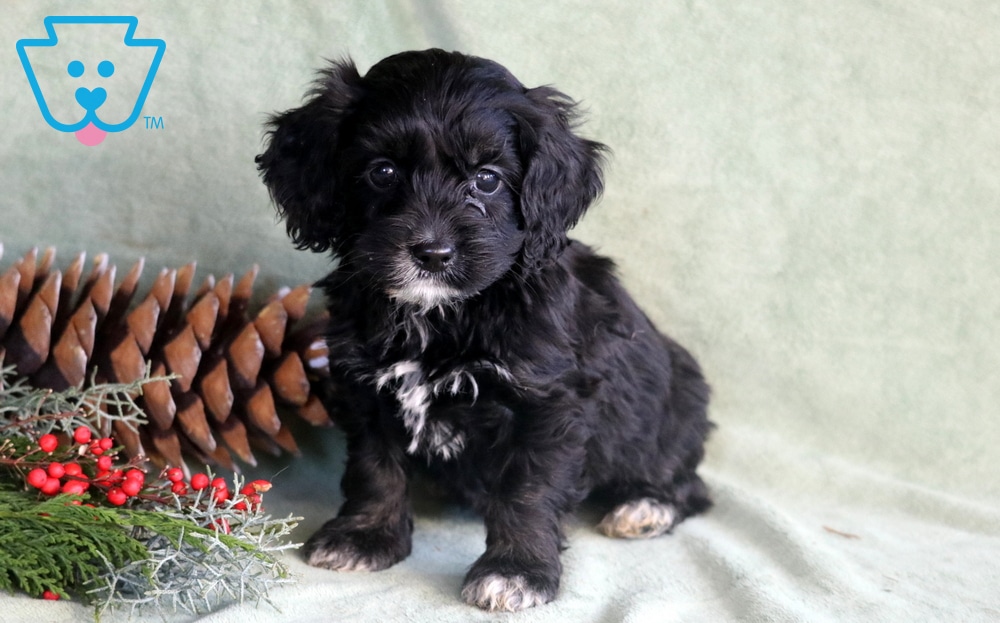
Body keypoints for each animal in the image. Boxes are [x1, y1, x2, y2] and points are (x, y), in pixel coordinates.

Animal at [257, 49, 712, 612]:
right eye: (382, 172)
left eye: (488, 179)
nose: (432, 253)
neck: (442, 315)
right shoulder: (367, 387)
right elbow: (373, 467)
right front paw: (365, 537)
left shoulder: (548, 403)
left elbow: (529, 489)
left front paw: (515, 571)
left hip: (669, 417)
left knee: (690, 486)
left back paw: (643, 507)